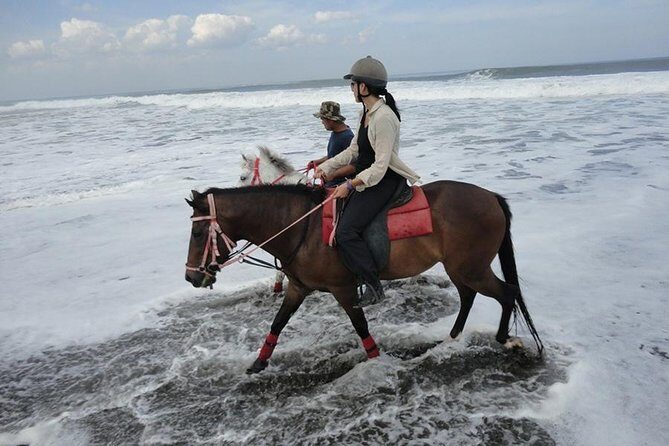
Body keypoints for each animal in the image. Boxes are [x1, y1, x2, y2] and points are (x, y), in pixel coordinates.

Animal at [184, 181, 543, 374]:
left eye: (199, 232)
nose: (190, 278)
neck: (303, 227)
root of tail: (490, 196)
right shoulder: (298, 288)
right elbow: (278, 322)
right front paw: (259, 362)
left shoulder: (343, 289)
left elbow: (361, 327)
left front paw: (376, 361)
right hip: (458, 267)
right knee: (469, 296)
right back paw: (452, 338)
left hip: (472, 268)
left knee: (507, 292)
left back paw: (505, 339)